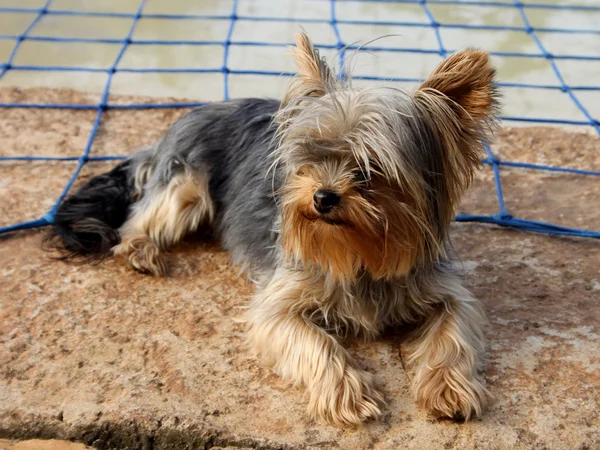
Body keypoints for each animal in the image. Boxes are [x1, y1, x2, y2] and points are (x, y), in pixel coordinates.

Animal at [47, 32, 500, 426]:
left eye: (371, 169)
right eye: (310, 159)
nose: (322, 197)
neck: (361, 252)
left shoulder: (443, 288)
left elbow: (454, 329)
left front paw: (448, 389)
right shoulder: (278, 304)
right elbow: (314, 341)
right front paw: (346, 393)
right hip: (186, 185)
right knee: (142, 216)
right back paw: (142, 249)